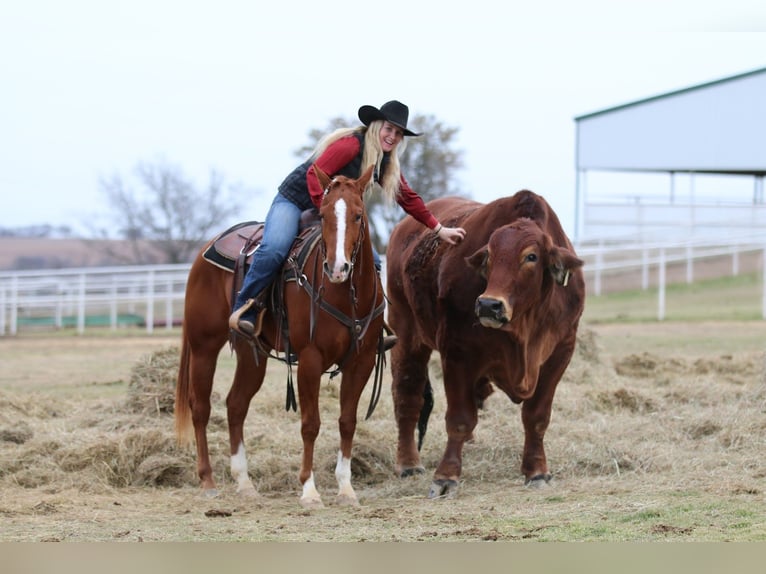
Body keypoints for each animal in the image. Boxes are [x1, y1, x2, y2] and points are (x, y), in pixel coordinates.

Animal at [177, 165, 388, 508]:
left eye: (358, 215)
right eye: (324, 215)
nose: (337, 268)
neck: (345, 295)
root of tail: (208, 246)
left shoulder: (363, 361)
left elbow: (347, 421)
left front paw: (346, 489)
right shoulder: (310, 359)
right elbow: (310, 424)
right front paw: (309, 490)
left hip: (251, 354)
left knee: (236, 405)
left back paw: (245, 482)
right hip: (203, 346)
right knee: (201, 408)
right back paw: (207, 480)